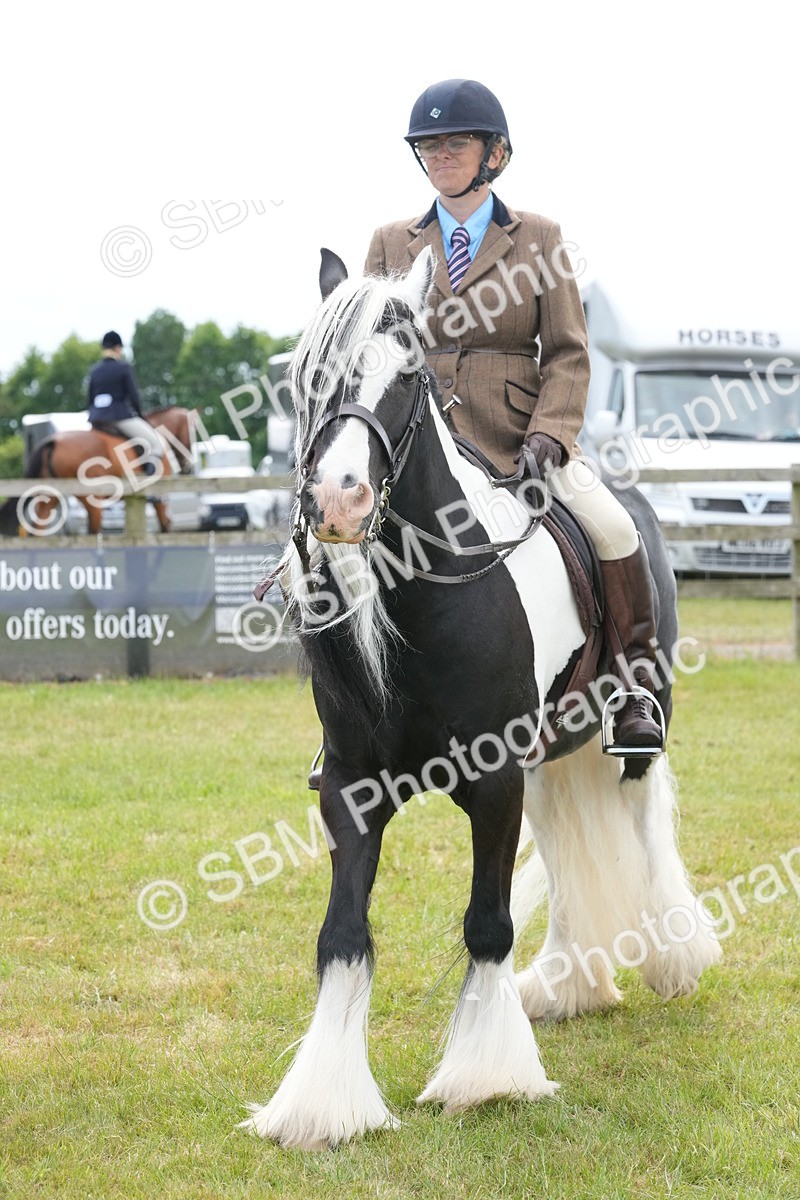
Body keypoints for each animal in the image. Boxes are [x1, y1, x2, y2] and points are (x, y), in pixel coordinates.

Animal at [1, 407, 196, 536]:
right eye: (192, 433)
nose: (187, 468)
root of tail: (52, 441)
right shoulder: (161, 499)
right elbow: (165, 526)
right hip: (90, 497)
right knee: (93, 531)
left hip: (51, 495)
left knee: (39, 527)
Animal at [242, 248, 722, 1150]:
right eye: (307, 376)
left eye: (410, 374)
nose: (340, 500)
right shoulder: (354, 791)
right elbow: (342, 936)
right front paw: (323, 1103)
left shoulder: (493, 783)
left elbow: (487, 923)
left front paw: (487, 1078)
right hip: (548, 759)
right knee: (567, 853)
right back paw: (568, 982)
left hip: (634, 728)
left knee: (643, 822)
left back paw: (674, 956)